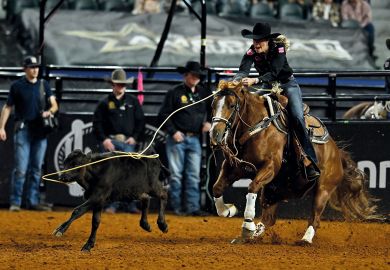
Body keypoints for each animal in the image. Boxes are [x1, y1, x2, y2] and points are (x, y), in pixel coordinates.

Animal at [209, 80, 380, 245]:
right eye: (213, 105)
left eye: (232, 105)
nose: (215, 134)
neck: (257, 126)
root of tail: (336, 153)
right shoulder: (235, 167)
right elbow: (216, 188)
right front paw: (228, 210)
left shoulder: (270, 166)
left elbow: (252, 187)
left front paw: (247, 226)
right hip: (274, 189)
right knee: (269, 218)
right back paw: (253, 236)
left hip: (323, 189)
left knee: (315, 218)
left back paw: (305, 239)